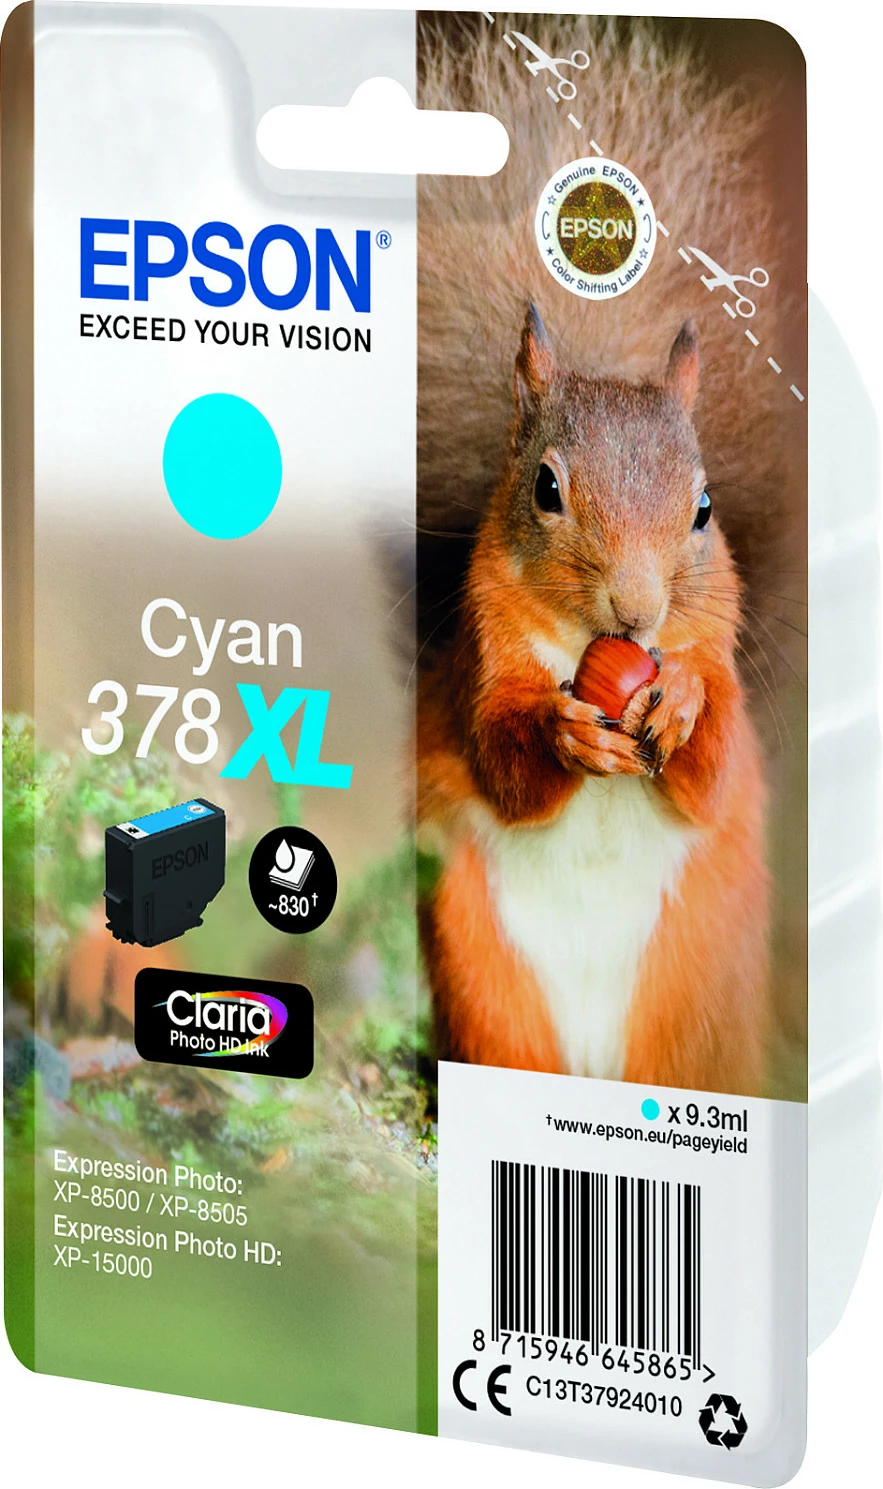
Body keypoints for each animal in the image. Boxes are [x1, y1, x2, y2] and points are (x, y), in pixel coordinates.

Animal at [415, 15, 806, 1095]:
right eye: (545, 489)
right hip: (483, 971)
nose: (636, 613)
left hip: (693, 993)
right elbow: (500, 757)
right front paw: (562, 734)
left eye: (704, 509)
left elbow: (711, 765)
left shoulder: (717, 650)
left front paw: (679, 703)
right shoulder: (482, 658)